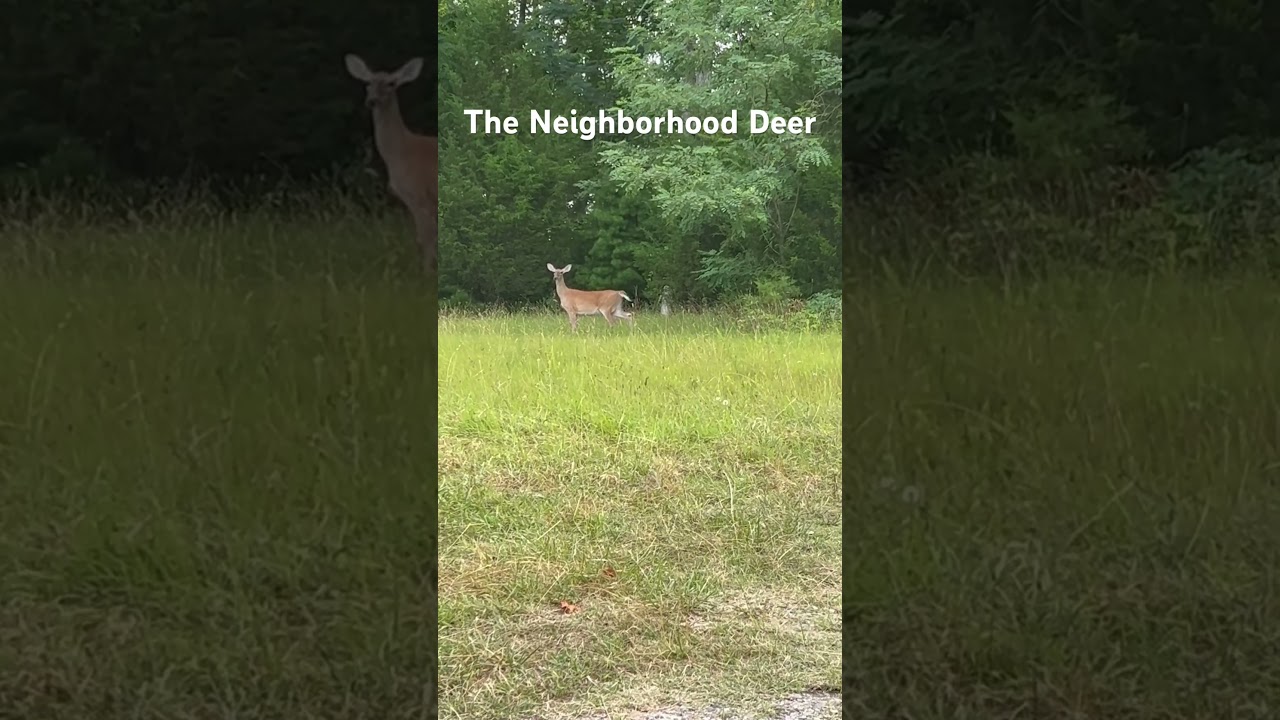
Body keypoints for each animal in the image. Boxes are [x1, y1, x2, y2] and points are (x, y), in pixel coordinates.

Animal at [344, 54, 438, 273]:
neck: (401, 153)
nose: (371, 101)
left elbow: (426, 238)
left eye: (391, 83)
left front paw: (426, 273)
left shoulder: (419, 194)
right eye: (368, 83)